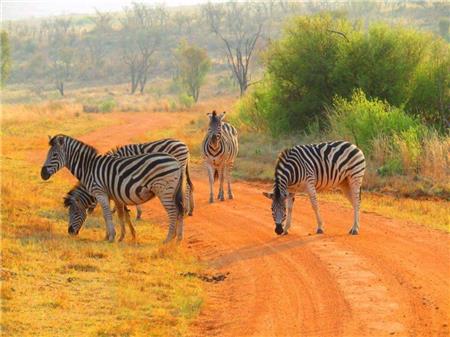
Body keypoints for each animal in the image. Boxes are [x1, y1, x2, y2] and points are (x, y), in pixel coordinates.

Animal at [40, 135, 185, 243]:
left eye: (54, 155)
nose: (42, 174)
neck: (89, 168)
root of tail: (175, 161)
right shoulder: (114, 195)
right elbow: (119, 215)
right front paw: (119, 236)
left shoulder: (101, 193)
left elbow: (107, 214)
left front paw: (111, 237)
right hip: (172, 191)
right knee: (180, 210)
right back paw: (178, 239)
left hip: (165, 190)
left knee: (173, 212)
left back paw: (168, 239)